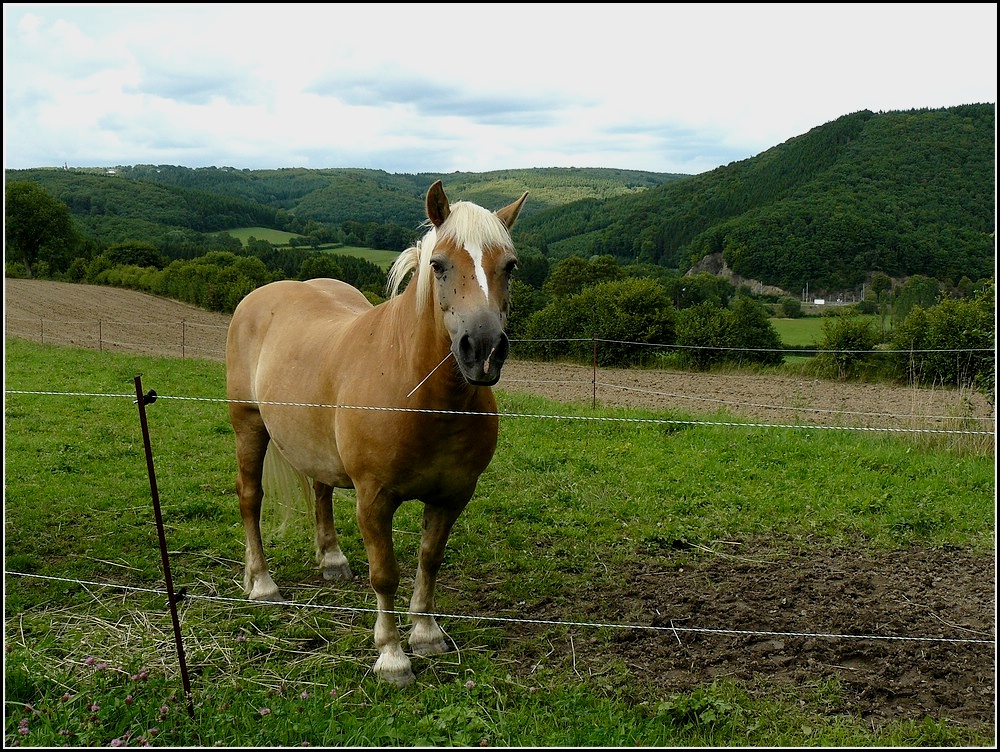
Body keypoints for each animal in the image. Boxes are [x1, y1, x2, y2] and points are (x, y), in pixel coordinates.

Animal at [224, 181, 528, 688]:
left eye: (509, 265)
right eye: (438, 264)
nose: (483, 350)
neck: (422, 398)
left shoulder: (452, 496)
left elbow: (429, 560)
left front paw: (426, 634)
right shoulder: (374, 498)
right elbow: (385, 573)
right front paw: (392, 656)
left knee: (321, 491)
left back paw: (332, 561)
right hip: (248, 425)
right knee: (250, 498)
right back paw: (263, 585)